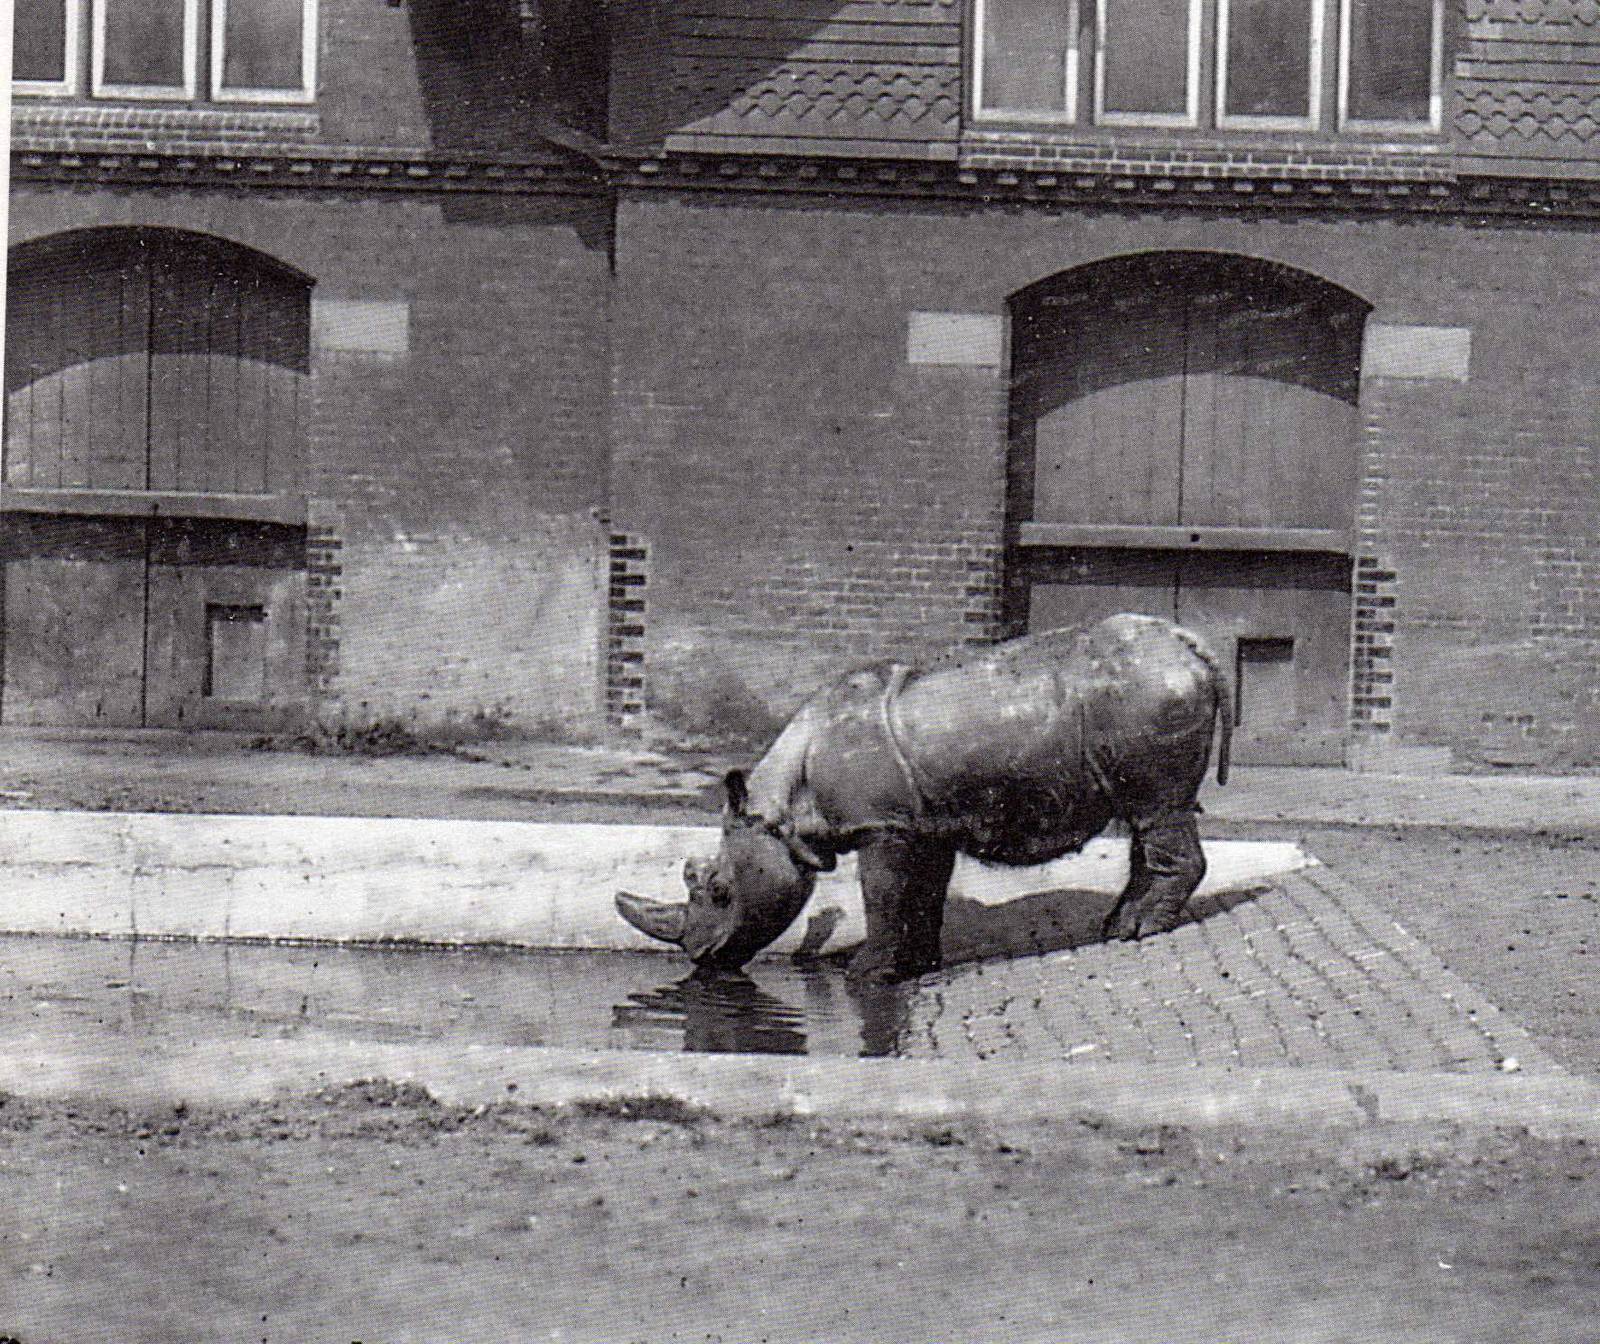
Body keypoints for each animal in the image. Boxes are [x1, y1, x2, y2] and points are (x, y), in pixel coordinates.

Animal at [616, 613, 1232, 983]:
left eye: (719, 890)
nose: (700, 956)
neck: (783, 807)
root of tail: (1193, 648)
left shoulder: (880, 825)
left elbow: (882, 894)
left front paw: (862, 972)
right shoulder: (922, 823)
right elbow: (921, 895)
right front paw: (914, 966)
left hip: (1149, 691)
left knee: (1157, 810)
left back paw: (1138, 932)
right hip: (1144, 691)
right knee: (1148, 817)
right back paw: (1118, 927)